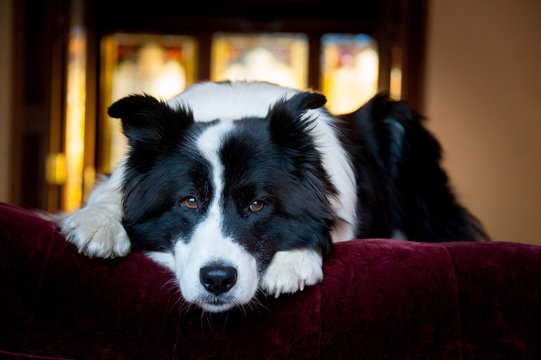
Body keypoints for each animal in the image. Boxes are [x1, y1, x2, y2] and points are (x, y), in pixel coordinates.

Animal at [58, 81, 486, 312]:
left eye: (257, 204)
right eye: (189, 201)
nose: (217, 280)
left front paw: (293, 260)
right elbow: (110, 193)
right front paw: (98, 222)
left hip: (401, 123)